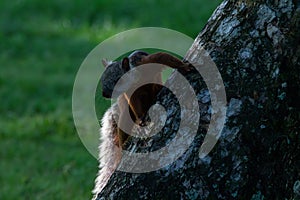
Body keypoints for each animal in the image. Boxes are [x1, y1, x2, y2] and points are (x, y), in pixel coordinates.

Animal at [92, 50, 192, 197]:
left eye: (117, 80)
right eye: (102, 80)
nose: (104, 94)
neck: (135, 80)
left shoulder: (147, 62)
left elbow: (163, 57)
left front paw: (183, 66)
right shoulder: (131, 95)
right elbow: (136, 106)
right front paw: (141, 118)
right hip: (124, 119)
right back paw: (123, 144)